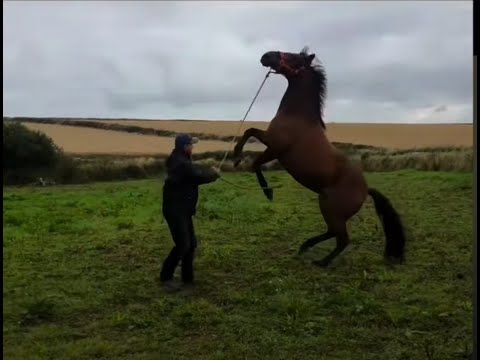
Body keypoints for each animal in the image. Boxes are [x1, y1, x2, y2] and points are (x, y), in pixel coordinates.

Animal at [232, 46, 404, 268]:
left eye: (294, 57)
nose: (266, 56)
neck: (297, 116)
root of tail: (366, 190)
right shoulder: (270, 142)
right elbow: (250, 133)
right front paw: (237, 158)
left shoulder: (275, 147)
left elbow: (254, 159)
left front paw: (267, 191)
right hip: (328, 208)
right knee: (333, 234)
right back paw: (305, 247)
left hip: (332, 210)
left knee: (342, 239)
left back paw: (321, 262)